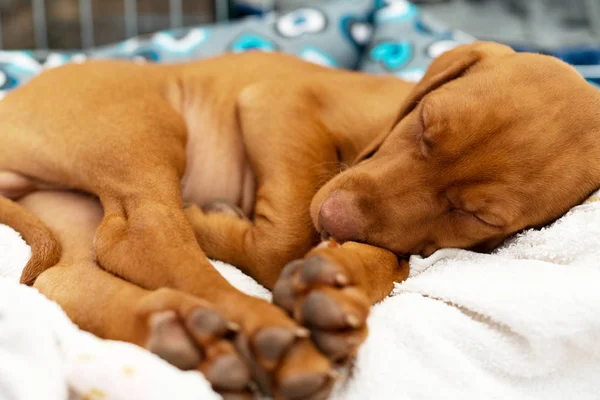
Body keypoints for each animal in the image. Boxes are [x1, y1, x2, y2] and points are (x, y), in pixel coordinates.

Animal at [1, 41, 600, 400]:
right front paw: (228, 227)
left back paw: (180, 334)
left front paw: (336, 292)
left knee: (74, 275)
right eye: (426, 126)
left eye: (474, 214)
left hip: (68, 204)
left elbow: (387, 258)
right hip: (139, 125)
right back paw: (269, 333)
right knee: (144, 233)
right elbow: (288, 236)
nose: (335, 217)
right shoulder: (278, 100)